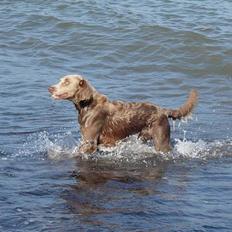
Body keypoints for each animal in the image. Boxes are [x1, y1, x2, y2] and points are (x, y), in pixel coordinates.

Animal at [48, 74, 198, 154]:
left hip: (161, 139)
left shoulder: (89, 141)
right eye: (60, 80)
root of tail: (163, 110)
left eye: (66, 82)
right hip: (144, 135)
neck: (87, 105)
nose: (50, 88)